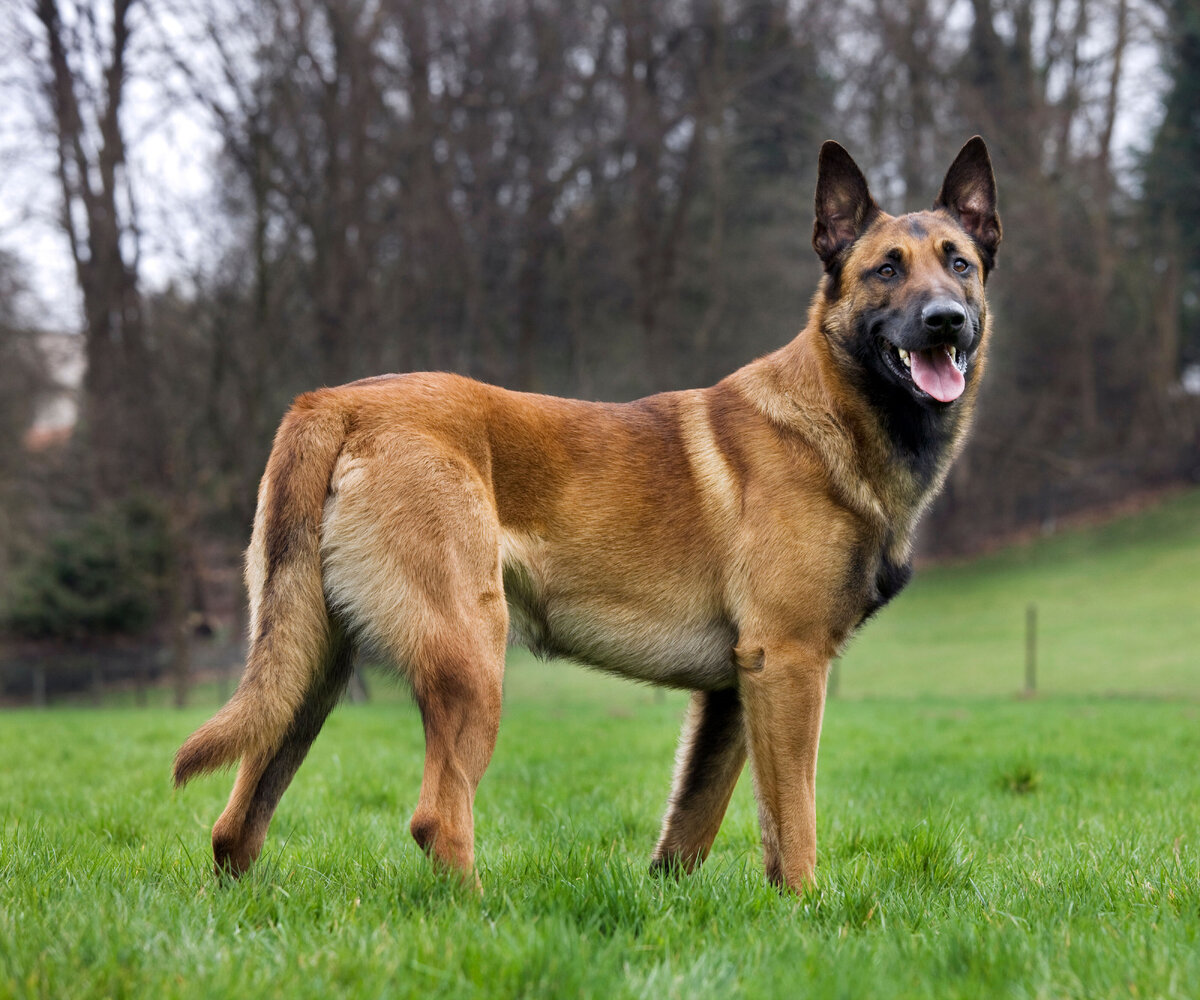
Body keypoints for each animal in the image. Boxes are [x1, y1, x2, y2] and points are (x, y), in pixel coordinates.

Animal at [175, 134, 1003, 888]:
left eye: (959, 263)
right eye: (886, 269)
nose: (945, 320)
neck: (837, 411)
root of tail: (337, 401)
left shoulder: (733, 693)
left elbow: (692, 826)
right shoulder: (789, 665)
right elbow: (793, 822)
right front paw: (805, 915)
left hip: (309, 670)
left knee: (236, 822)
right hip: (470, 656)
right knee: (438, 817)